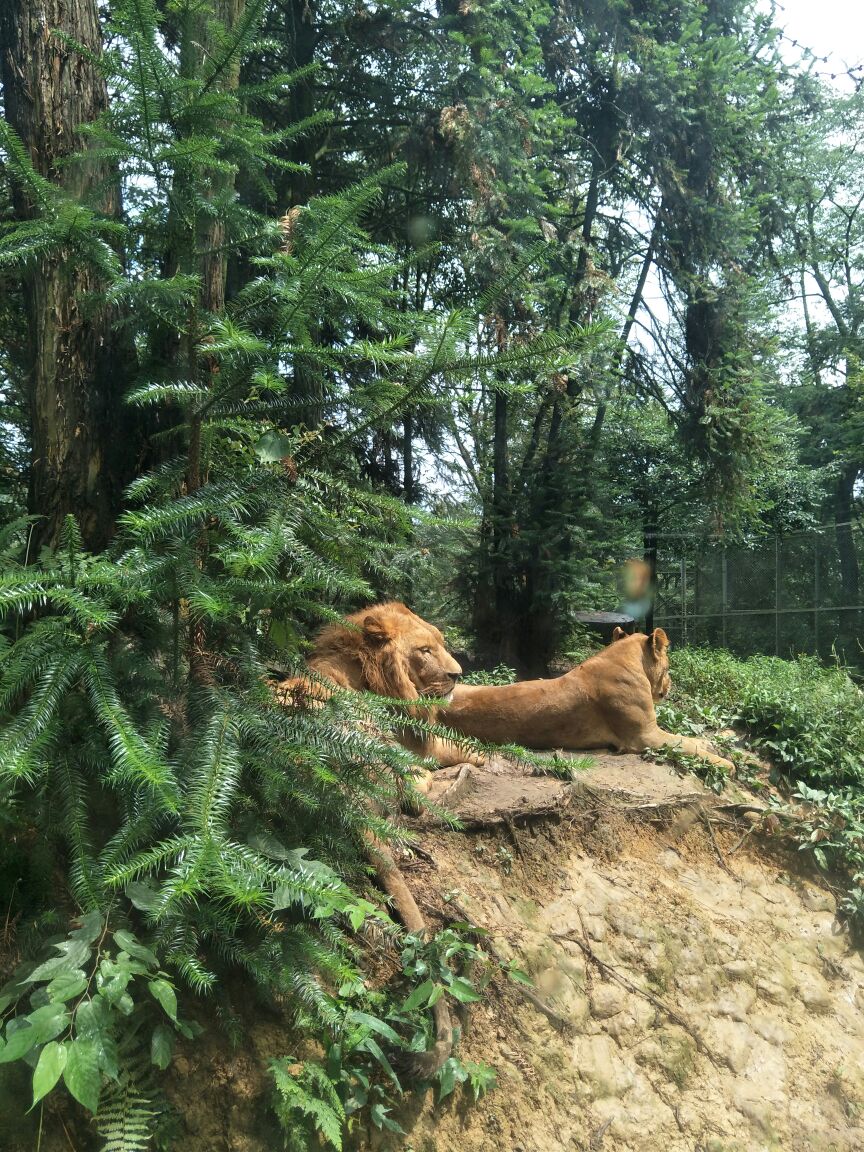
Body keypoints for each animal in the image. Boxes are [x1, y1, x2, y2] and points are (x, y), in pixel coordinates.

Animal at [442, 626, 732, 769]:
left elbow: (690, 740)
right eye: (669, 667)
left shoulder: (650, 732)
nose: (670, 685)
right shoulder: (644, 737)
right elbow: (686, 745)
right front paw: (726, 764)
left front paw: (715, 742)